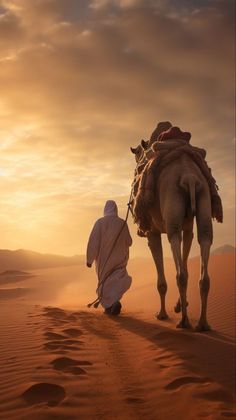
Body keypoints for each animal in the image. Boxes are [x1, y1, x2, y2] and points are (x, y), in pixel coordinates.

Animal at [130, 139, 215, 330]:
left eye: (137, 153)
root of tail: (189, 178)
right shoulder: (188, 228)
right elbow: (185, 259)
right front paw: (179, 305)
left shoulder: (152, 232)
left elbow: (161, 278)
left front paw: (162, 314)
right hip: (204, 198)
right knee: (205, 239)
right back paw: (202, 323)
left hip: (172, 206)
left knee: (178, 264)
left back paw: (184, 322)